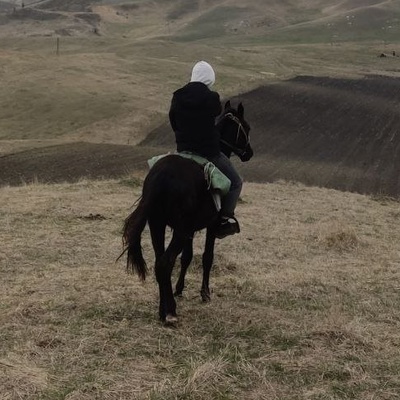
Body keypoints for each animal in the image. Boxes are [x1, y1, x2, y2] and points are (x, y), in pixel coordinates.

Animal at [120, 101, 253, 324]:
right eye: (246, 128)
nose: (249, 153)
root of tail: (161, 175)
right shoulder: (209, 226)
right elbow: (207, 257)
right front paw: (205, 293)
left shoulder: (189, 229)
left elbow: (187, 257)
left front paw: (179, 289)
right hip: (179, 230)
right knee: (165, 262)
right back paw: (171, 313)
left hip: (158, 225)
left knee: (159, 262)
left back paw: (162, 310)